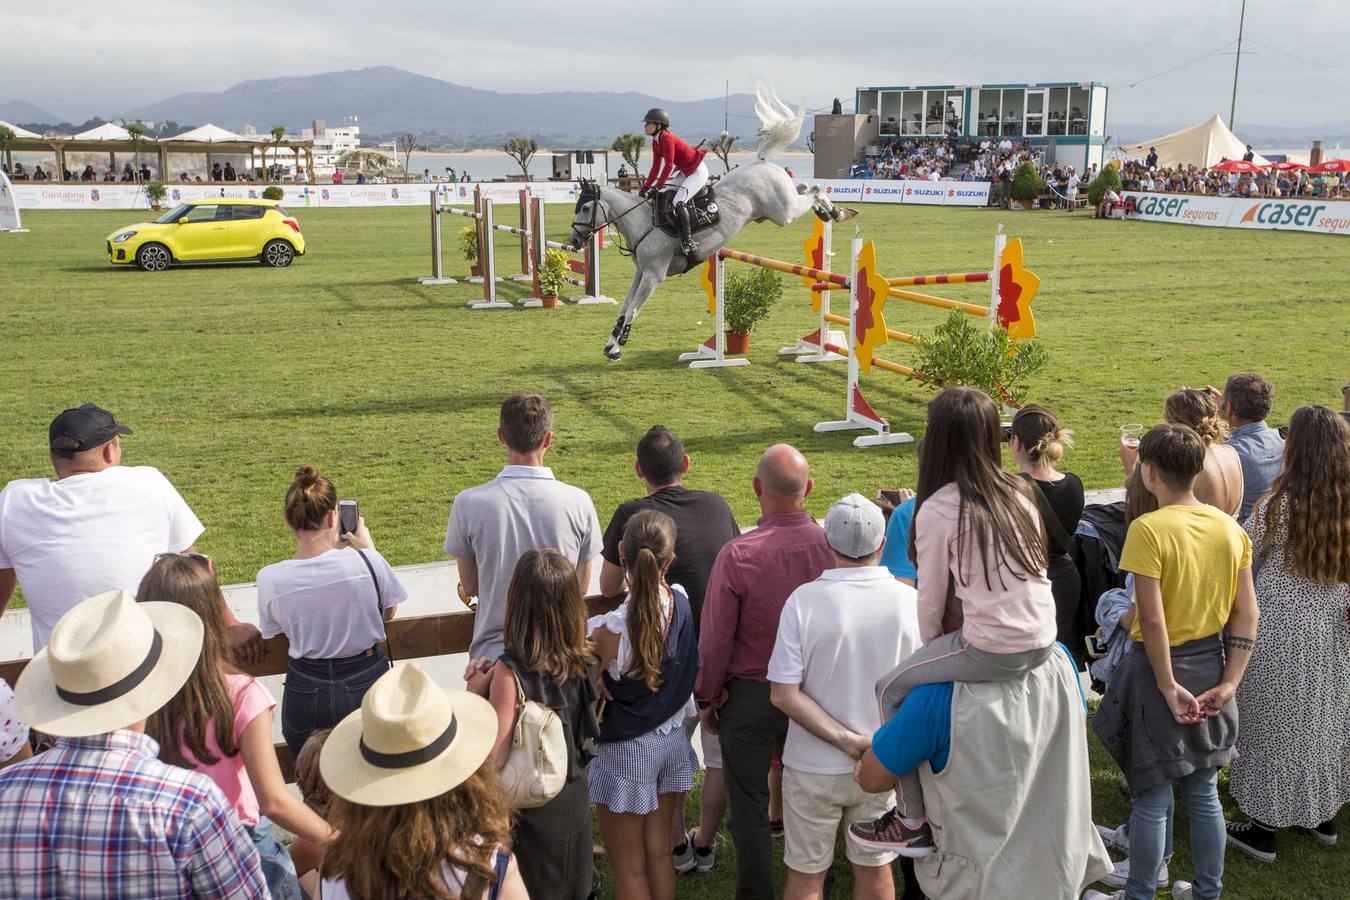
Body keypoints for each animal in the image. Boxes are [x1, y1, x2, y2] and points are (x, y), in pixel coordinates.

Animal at [564, 86, 858, 361]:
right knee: (804, 186)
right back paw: (829, 212)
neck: (642, 223)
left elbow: (633, 308)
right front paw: (611, 343)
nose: (575, 241)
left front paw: (618, 345)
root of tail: (760, 162)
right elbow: (624, 306)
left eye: (586, 208)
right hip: (777, 209)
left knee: (815, 189)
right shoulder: (641, 272)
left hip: (784, 213)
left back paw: (838, 213)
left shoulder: (654, 275)